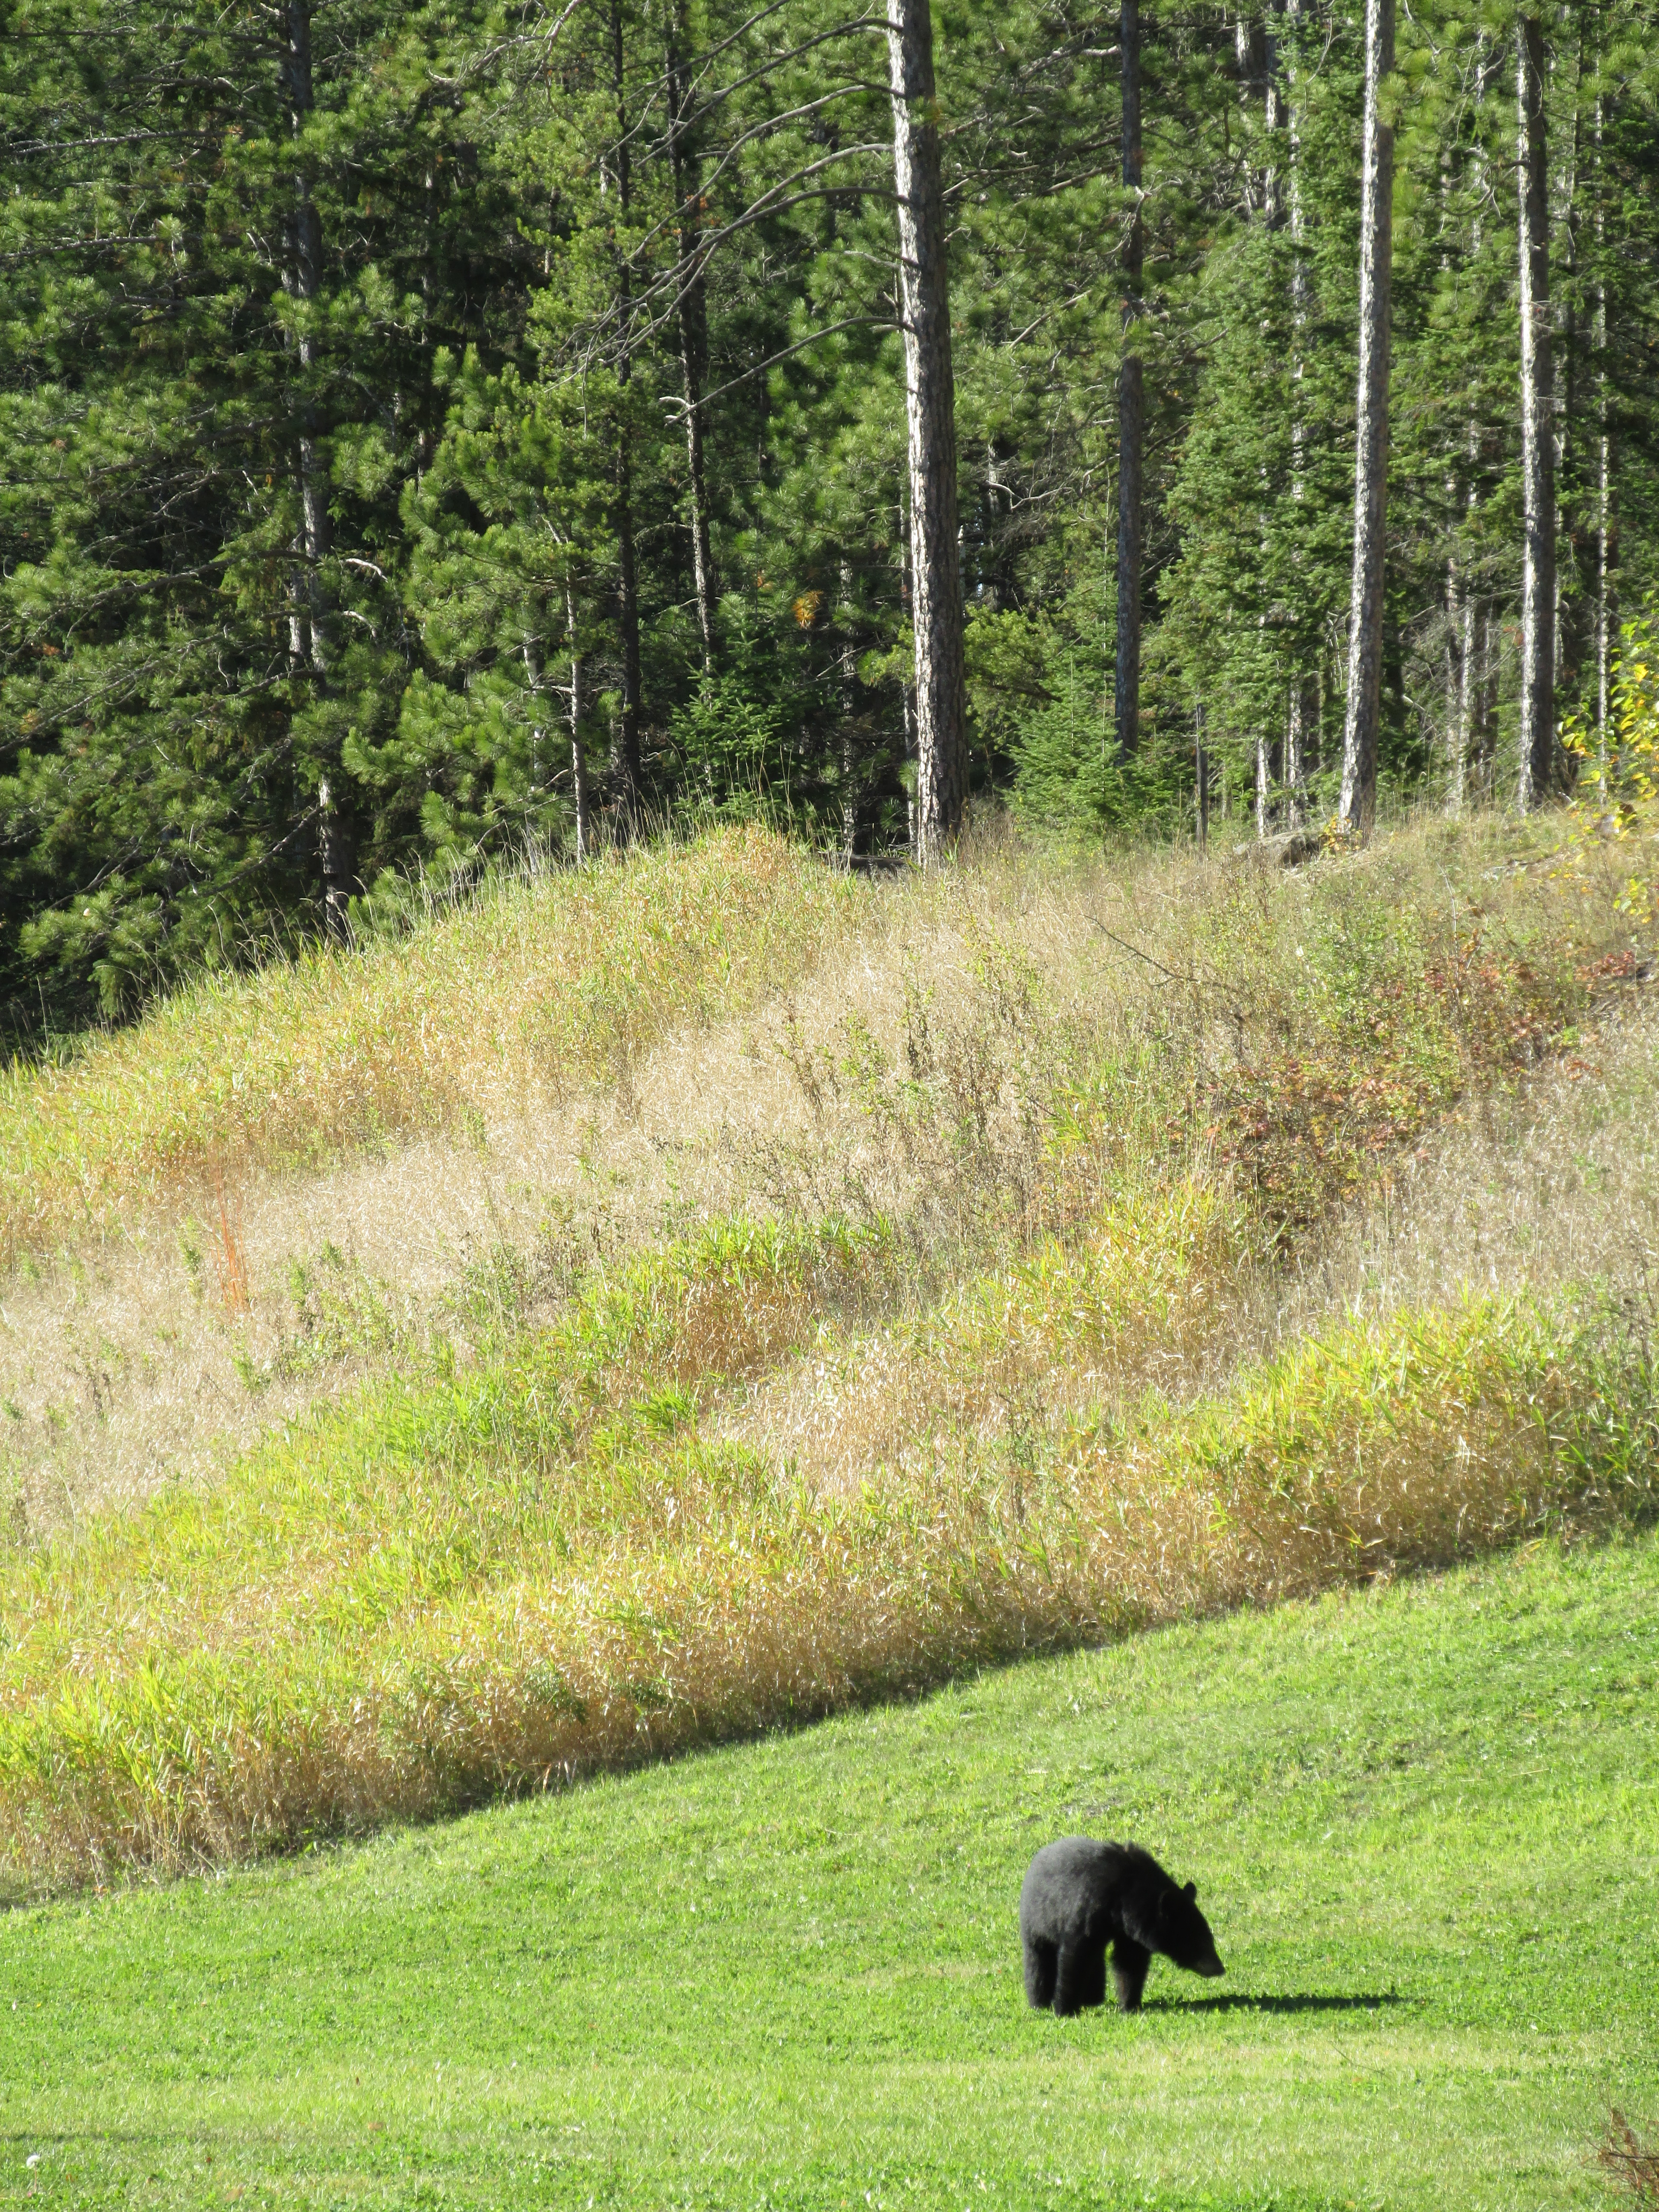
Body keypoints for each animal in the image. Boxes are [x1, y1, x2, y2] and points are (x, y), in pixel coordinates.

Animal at [1019, 1838, 1224, 2015]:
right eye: (1198, 1941)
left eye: (1210, 1938)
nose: (1220, 1968)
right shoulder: (1089, 1904)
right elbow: (1076, 1954)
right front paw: (1064, 2009)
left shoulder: (1130, 1931)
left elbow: (1129, 1960)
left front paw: (1130, 2005)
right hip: (1037, 1920)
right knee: (1038, 1959)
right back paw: (1040, 2001)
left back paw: (1092, 1999)